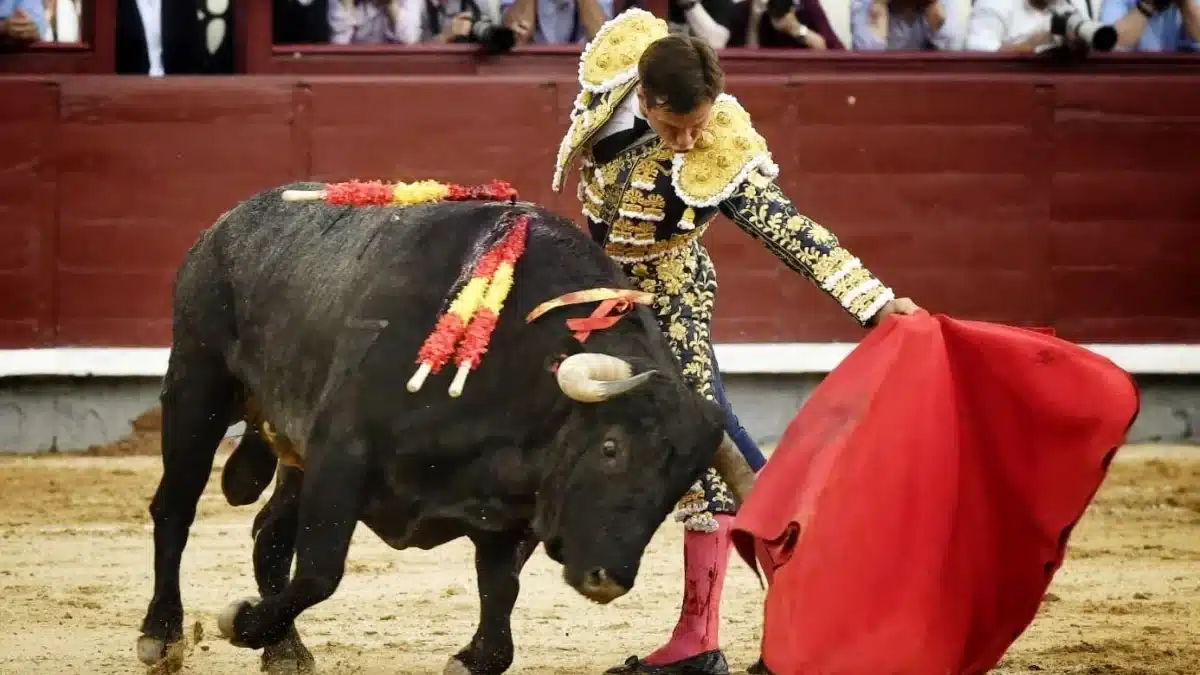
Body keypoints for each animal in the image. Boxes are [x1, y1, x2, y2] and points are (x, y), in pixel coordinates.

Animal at [136, 182, 753, 672]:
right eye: (609, 448)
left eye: (678, 485)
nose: (609, 578)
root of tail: (228, 223)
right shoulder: (342, 452)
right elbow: (320, 570)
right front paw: (238, 621)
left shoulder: (512, 505)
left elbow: (501, 589)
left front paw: (473, 657)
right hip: (196, 386)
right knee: (175, 508)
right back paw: (162, 635)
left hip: (291, 448)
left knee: (267, 530)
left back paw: (285, 650)